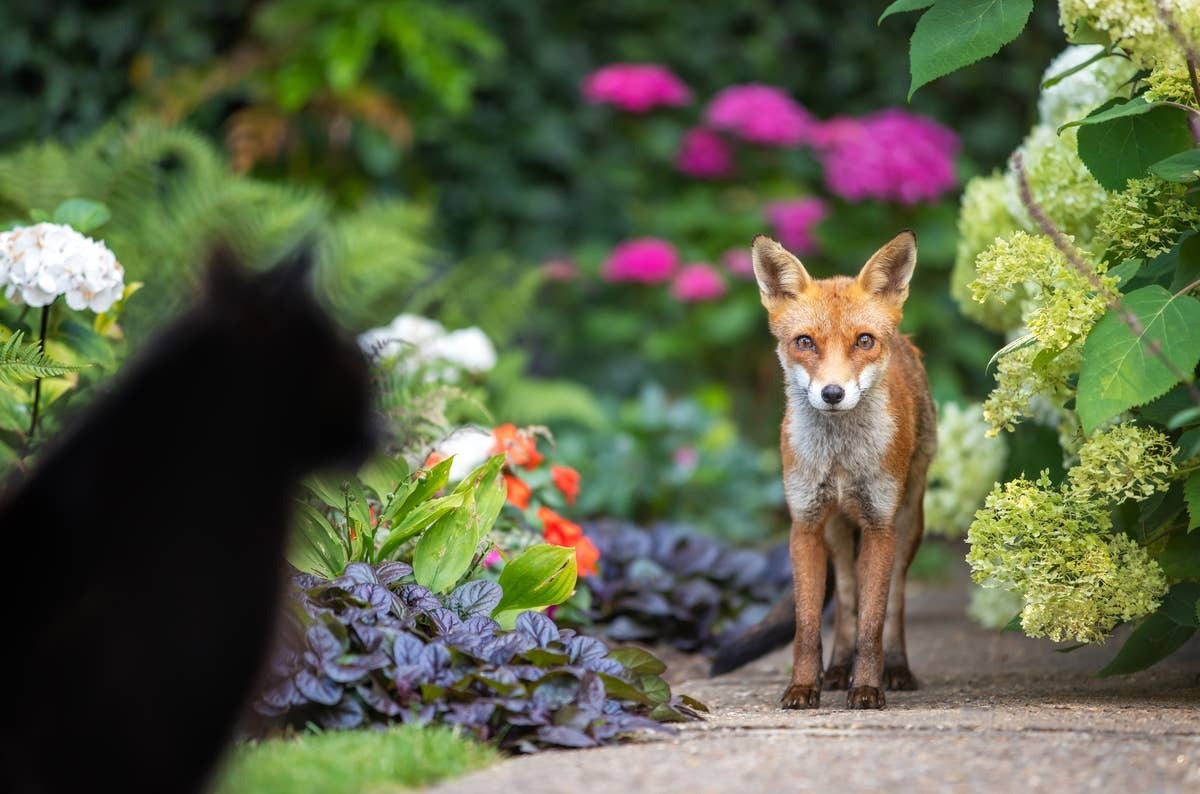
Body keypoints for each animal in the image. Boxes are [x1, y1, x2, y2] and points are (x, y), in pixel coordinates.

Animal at [713, 230, 936, 710]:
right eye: (805, 342)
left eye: (864, 341)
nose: (833, 393)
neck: (840, 460)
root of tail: (905, 341)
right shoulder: (806, 525)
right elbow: (809, 625)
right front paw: (803, 686)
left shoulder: (879, 526)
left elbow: (873, 622)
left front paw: (867, 687)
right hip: (836, 532)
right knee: (848, 599)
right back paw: (835, 670)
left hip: (909, 521)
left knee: (895, 601)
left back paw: (896, 669)